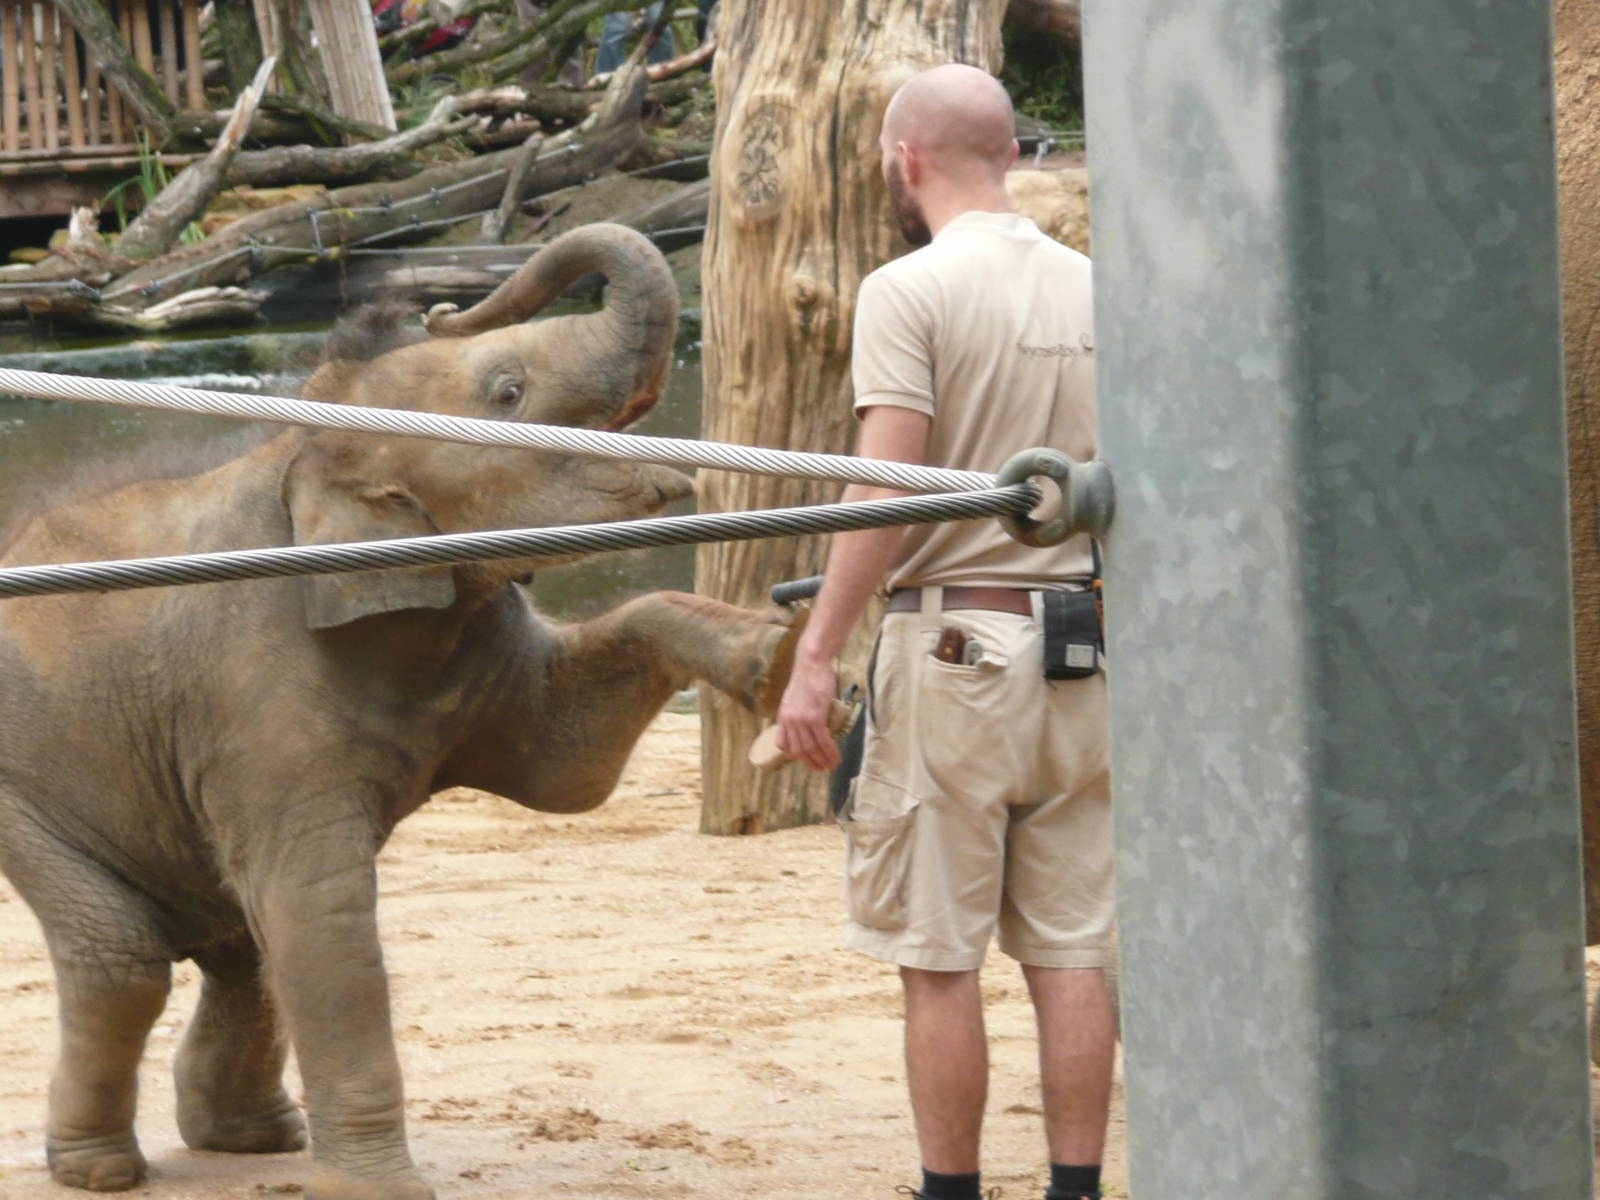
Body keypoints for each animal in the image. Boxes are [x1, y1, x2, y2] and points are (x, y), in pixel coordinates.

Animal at [0, 222, 801, 1198]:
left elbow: (568, 770)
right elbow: (320, 909)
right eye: (508, 391)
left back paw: (253, 1140)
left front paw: (780, 657)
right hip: (25, 796)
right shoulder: (254, 693)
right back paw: (101, 1170)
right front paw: (382, 1188)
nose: (444, 303)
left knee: (241, 946)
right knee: (125, 962)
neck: (304, 451)